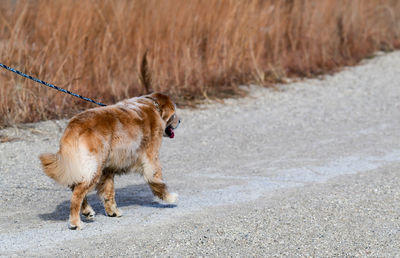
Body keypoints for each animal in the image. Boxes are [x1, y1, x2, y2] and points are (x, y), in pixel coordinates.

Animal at [39, 92, 180, 230]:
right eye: (174, 114)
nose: (180, 121)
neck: (154, 106)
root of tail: (73, 126)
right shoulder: (151, 158)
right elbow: (157, 180)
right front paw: (169, 197)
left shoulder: (108, 170)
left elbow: (108, 192)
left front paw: (113, 211)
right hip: (94, 168)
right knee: (77, 193)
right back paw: (75, 222)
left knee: (75, 186)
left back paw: (87, 211)